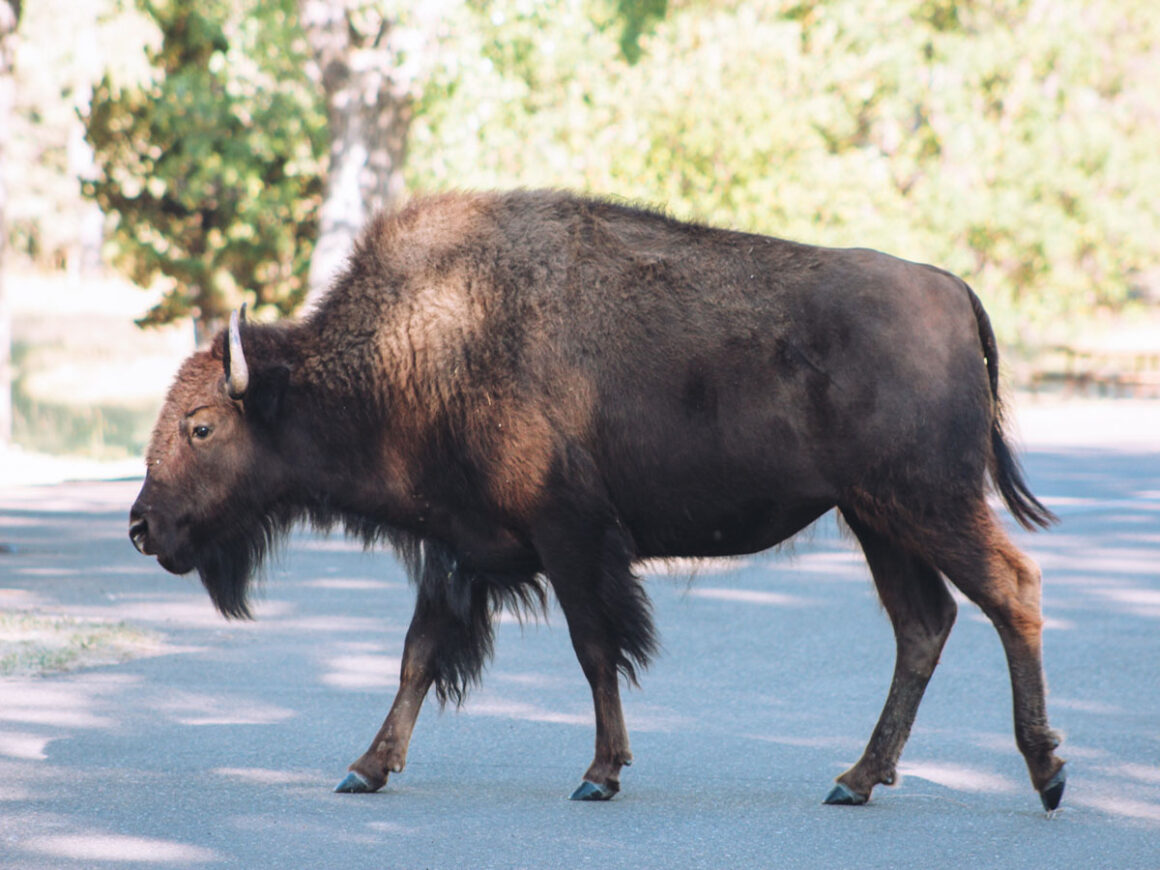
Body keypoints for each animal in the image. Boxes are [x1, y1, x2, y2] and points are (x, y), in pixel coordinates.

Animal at [129, 189, 1065, 810]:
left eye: (201, 426)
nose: (141, 526)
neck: (422, 345)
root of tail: (953, 290)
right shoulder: (459, 549)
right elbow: (418, 655)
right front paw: (364, 767)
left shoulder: (571, 540)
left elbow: (593, 650)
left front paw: (599, 775)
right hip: (877, 521)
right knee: (924, 624)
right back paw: (856, 780)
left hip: (927, 507)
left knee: (1010, 591)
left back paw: (1047, 772)